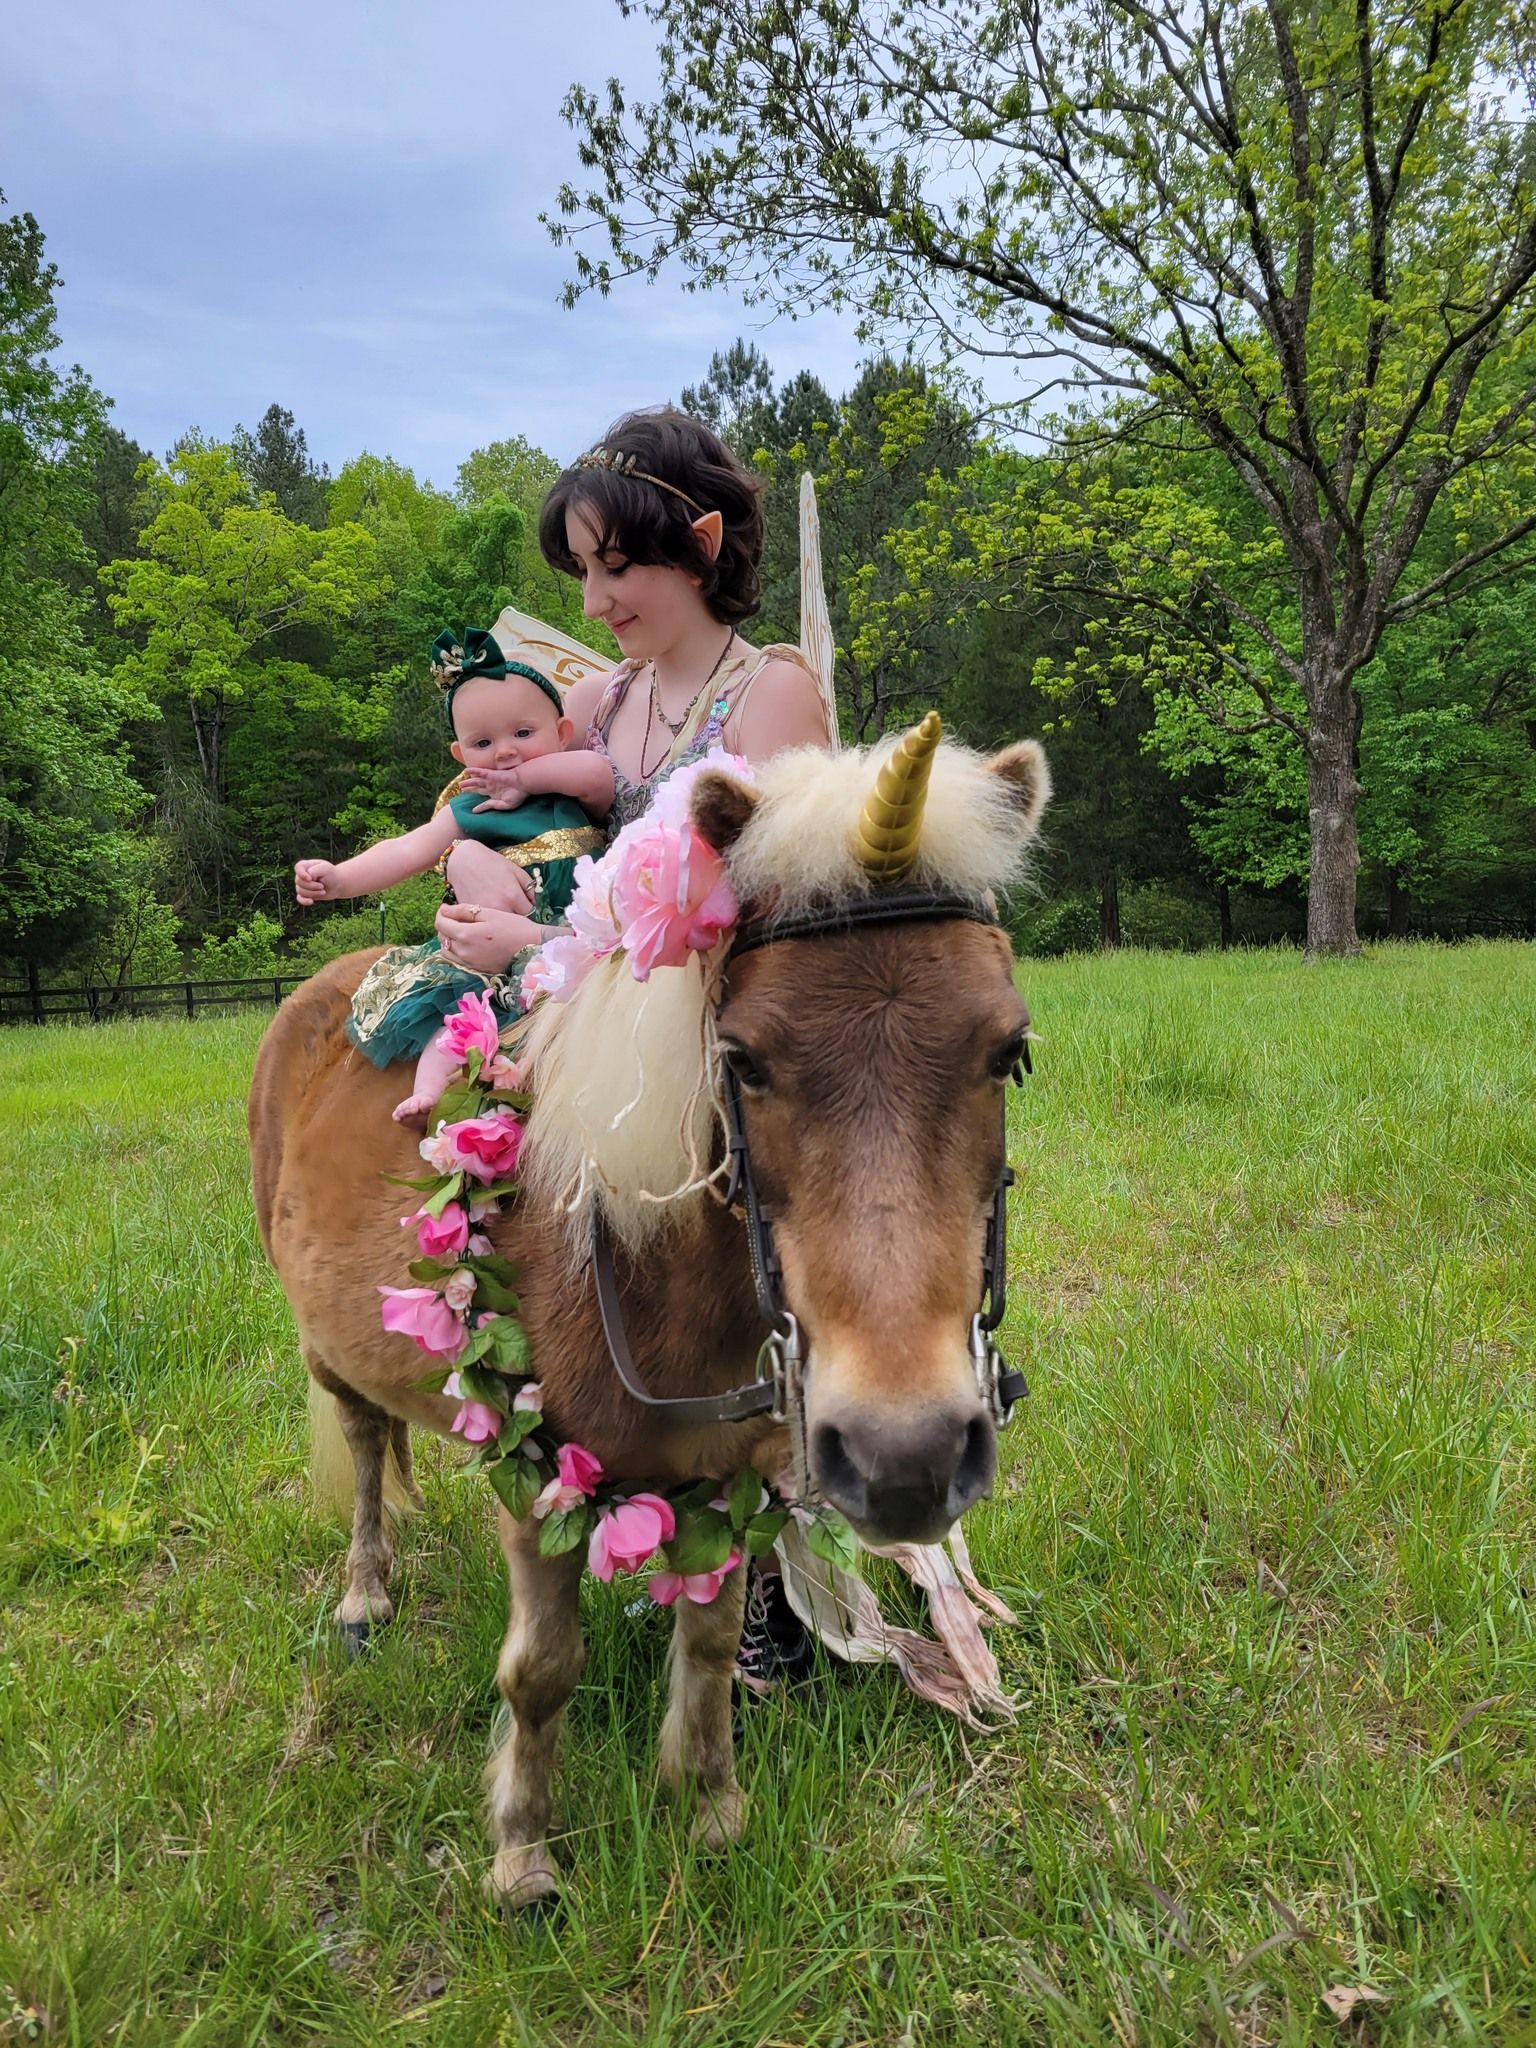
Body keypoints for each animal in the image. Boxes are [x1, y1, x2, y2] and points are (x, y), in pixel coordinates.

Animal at [249, 719, 1049, 1909]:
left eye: (1010, 1051)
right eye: (743, 1060)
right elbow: (540, 1672)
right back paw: (362, 1598)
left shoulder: (731, 1478)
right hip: (330, 1355)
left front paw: (709, 1806)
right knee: (360, 1448)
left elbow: (711, 1644)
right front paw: (523, 1857)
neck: (653, 1284)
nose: (905, 1456)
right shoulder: (532, 1468)